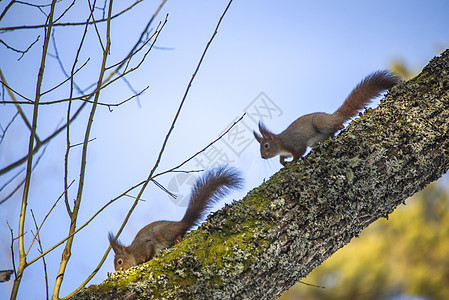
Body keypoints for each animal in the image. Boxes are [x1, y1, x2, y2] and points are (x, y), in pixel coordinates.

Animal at [107, 165, 242, 270]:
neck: (133, 252)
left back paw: (177, 238)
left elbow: (150, 251)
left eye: (120, 261)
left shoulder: (145, 245)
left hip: (163, 232)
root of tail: (180, 223)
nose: (118, 271)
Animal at [252, 70, 400, 166]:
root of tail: (333, 116)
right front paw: (283, 162)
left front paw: (292, 162)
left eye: (266, 145)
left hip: (321, 123)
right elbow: (282, 158)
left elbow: (299, 153)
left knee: (336, 125)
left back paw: (339, 125)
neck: (280, 144)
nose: (263, 157)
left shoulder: (295, 143)